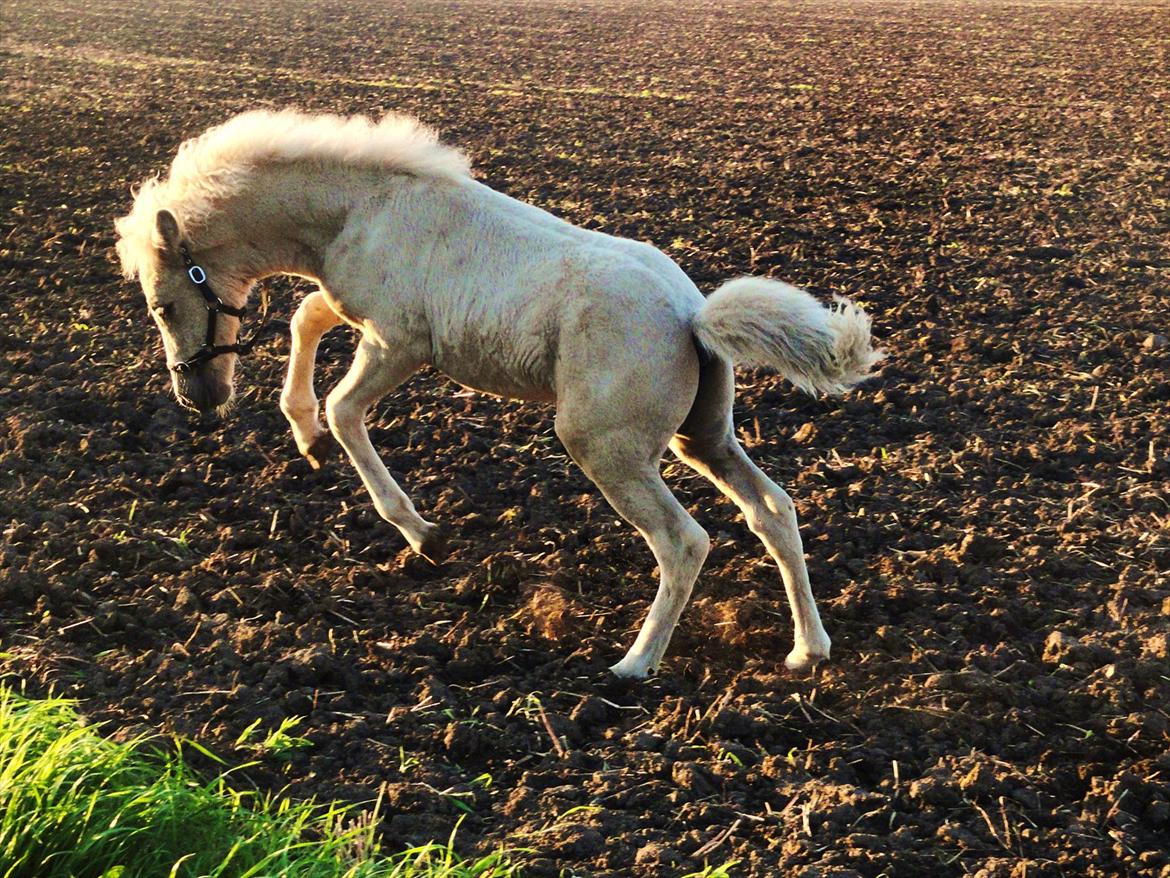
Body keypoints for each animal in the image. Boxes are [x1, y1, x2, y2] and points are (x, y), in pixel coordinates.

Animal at [118, 111, 879, 678]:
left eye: (161, 304)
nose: (196, 397)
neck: (364, 208)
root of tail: (692, 315)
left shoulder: (400, 343)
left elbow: (345, 408)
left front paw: (421, 531)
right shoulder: (355, 313)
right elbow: (307, 318)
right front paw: (304, 438)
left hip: (607, 448)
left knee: (683, 541)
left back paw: (634, 665)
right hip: (705, 438)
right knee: (774, 511)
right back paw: (807, 650)